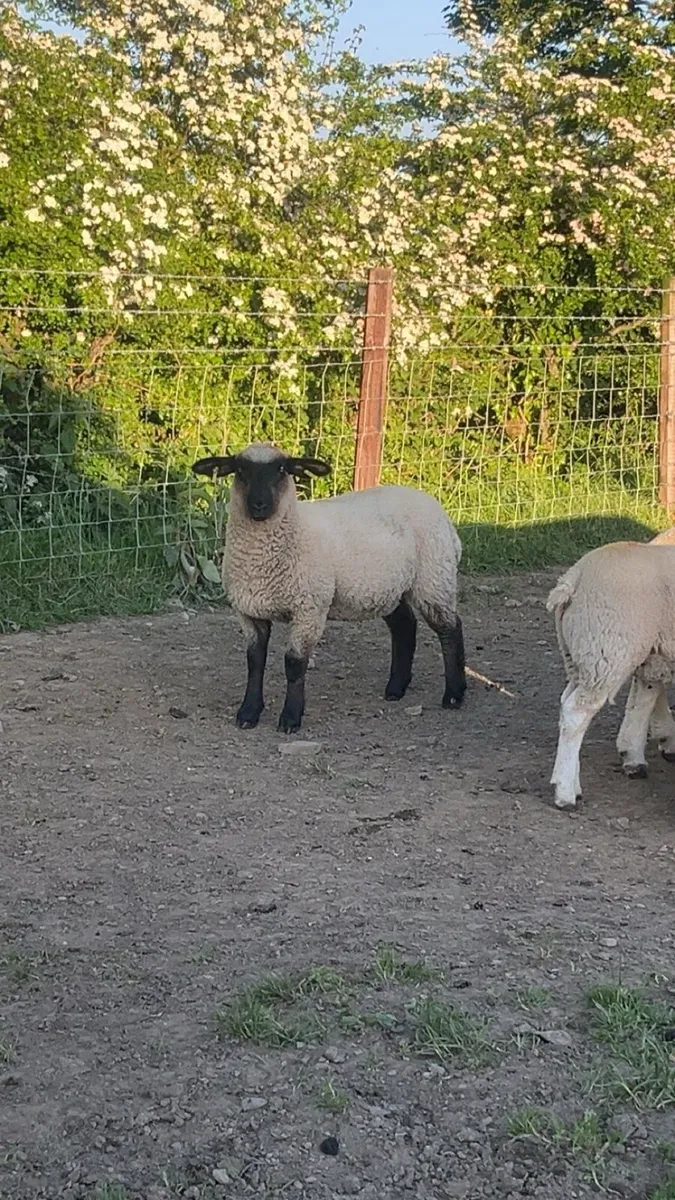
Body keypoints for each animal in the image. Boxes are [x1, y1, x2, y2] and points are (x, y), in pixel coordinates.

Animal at [191, 442, 466, 733]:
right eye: (241, 470)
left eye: (281, 469)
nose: (259, 505)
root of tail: (444, 517)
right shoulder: (249, 611)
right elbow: (255, 662)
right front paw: (248, 712)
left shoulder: (309, 608)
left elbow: (294, 664)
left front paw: (290, 718)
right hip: (388, 587)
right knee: (404, 626)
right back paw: (396, 688)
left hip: (433, 578)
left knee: (450, 629)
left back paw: (453, 695)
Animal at [547, 534, 675, 809]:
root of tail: (574, 578)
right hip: (607, 651)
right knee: (576, 713)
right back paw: (565, 793)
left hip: (582, 657)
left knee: (566, 705)